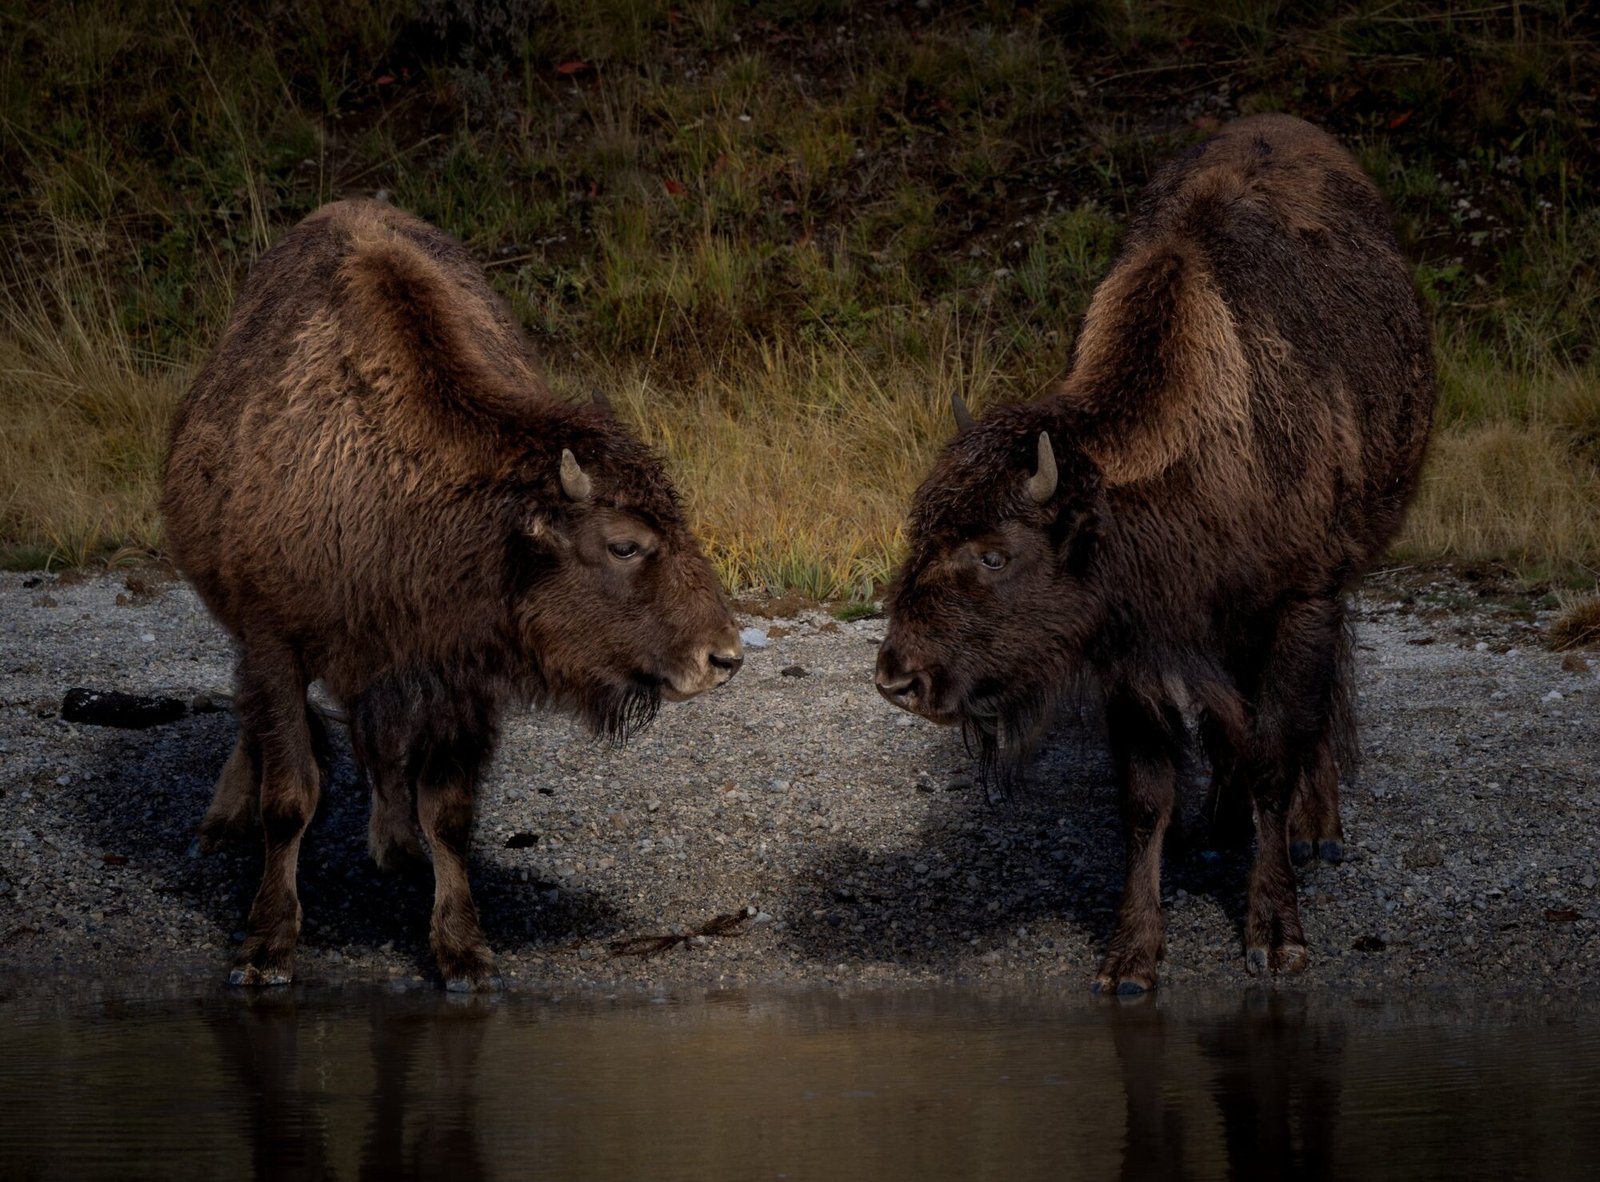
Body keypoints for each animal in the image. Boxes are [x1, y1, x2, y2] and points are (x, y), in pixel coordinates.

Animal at [163, 199, 742, 989]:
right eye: (623, 544)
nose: (725, 656)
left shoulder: (461, 672)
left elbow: (449, 810)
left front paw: (462, 950)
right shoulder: (274, 642)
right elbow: (291, 794)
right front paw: (265, 948)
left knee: (375, 738)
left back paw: (395, 845)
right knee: (268, 730)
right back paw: (221, 826)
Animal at [875, 115, 1435, 992]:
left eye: (996, 554)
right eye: (920, 534)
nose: (899, 677)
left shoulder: (1299, 602)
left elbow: (1276, 750)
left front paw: (1276, 932)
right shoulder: (1132, 648)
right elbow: (1147, 795)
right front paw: (1131, 957)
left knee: (1312, 710)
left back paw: (1317, 828)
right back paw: (1217, 823)